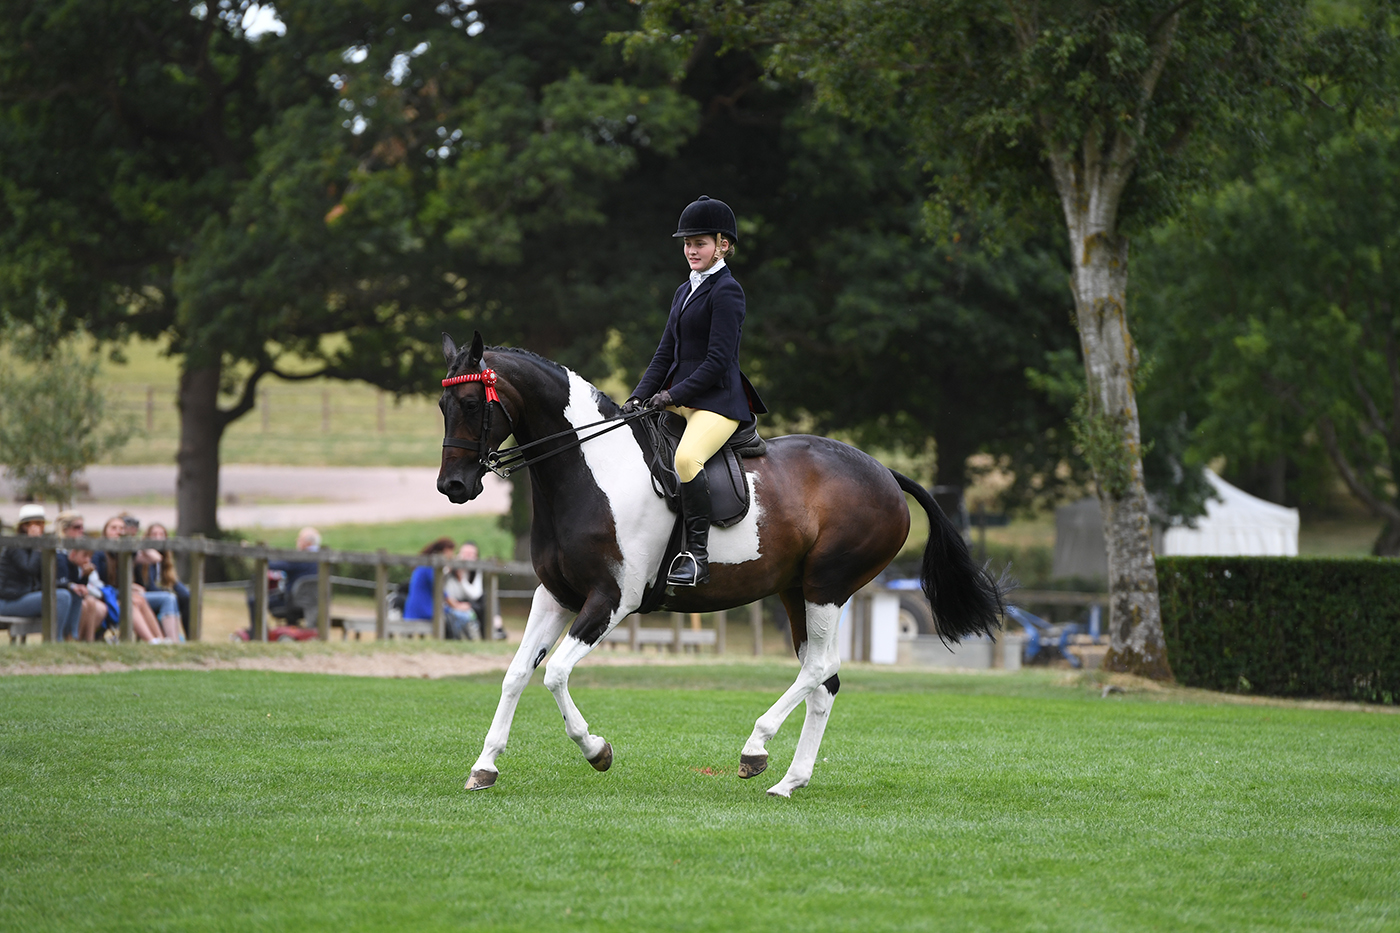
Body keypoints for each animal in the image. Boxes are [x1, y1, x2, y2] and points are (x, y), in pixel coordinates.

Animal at [437, 332, 1004, 797]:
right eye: (442, 405)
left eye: (471, 403)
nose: (453, 487)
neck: (590, 471)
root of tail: (885, 472)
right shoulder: (555, 595)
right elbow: (516, 674)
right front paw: (484, 767)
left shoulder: (612, 599)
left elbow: (554, 673)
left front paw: (597, 751)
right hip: (795, 592)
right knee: (826, 679)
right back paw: (790, 781)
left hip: (827, 585)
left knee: (818, 668)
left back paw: (756, 749)